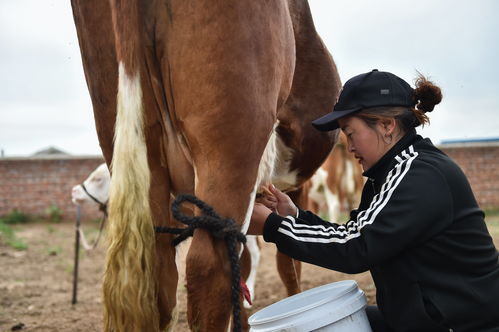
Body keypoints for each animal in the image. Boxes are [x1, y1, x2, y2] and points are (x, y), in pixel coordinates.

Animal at [70, 1, 342, 330]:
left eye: (98, 179)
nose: (74, 193)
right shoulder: (290, 188)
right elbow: (287, 265)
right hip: (232, 140)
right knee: (209, 268)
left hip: (129, 132)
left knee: (158, 272)